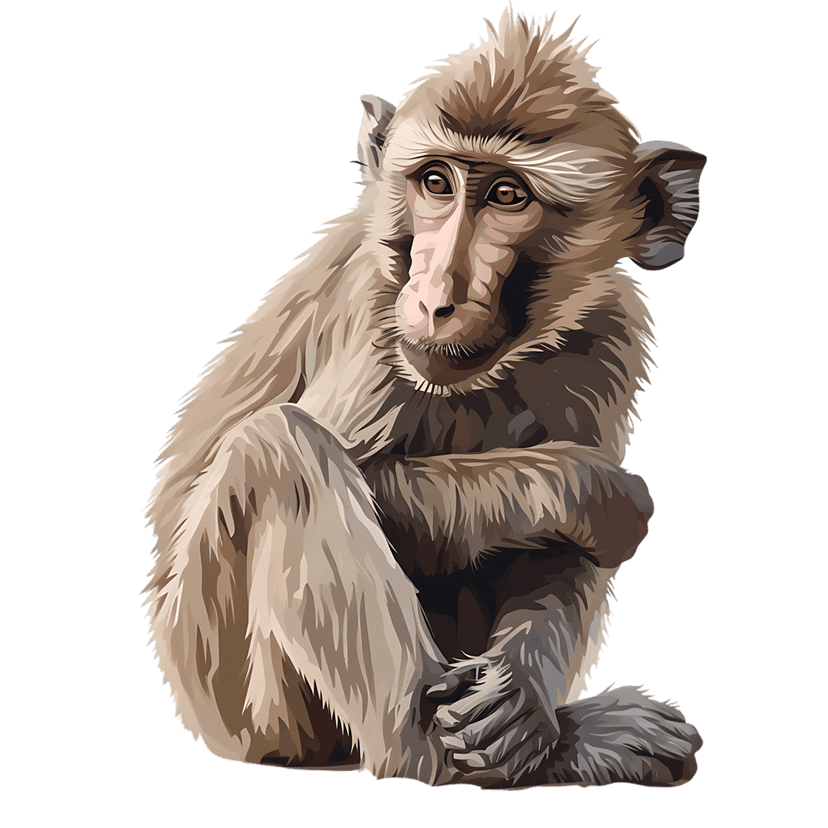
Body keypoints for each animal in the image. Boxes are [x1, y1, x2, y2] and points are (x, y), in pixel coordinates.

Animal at [144, 6, 705, 790]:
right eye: (435, 181)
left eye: (508, 197)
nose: (436, 295)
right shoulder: (374, 310)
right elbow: (366, 469)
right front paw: (592, 488)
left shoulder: (612, 334)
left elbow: (560, 553)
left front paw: (521, 710)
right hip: (235, 696)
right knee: (279, 450)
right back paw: (439, 752)